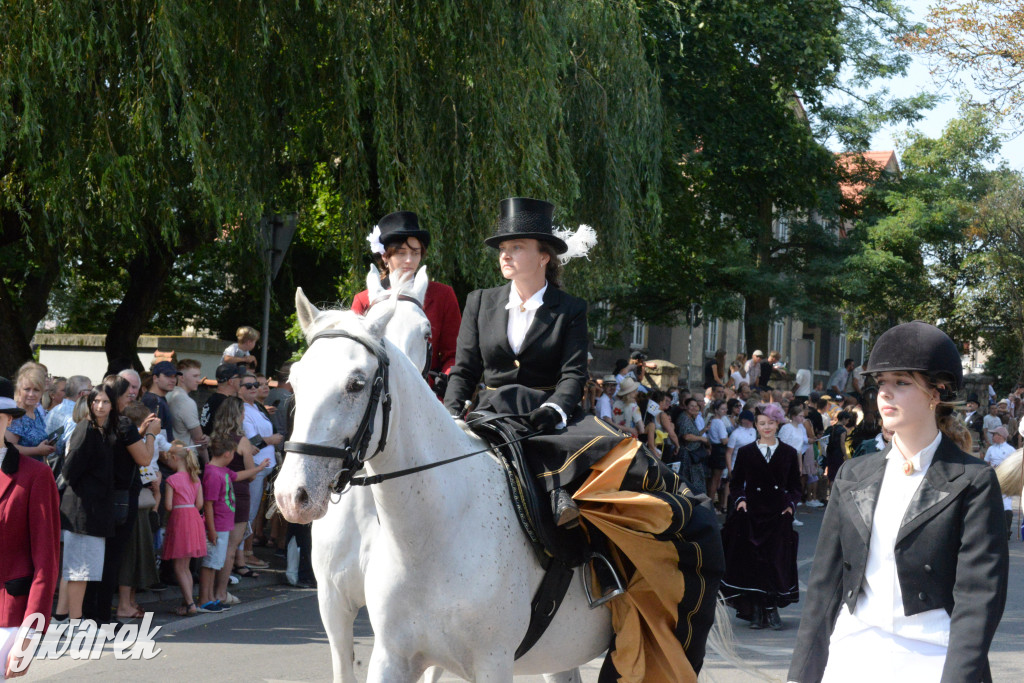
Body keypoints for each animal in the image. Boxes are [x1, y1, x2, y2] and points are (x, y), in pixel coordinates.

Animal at [278, 290, 614, 683]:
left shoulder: (491, 662)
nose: (292, 495)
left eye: (356, 384)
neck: (429, 536)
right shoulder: (380, 646)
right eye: (295, 381)